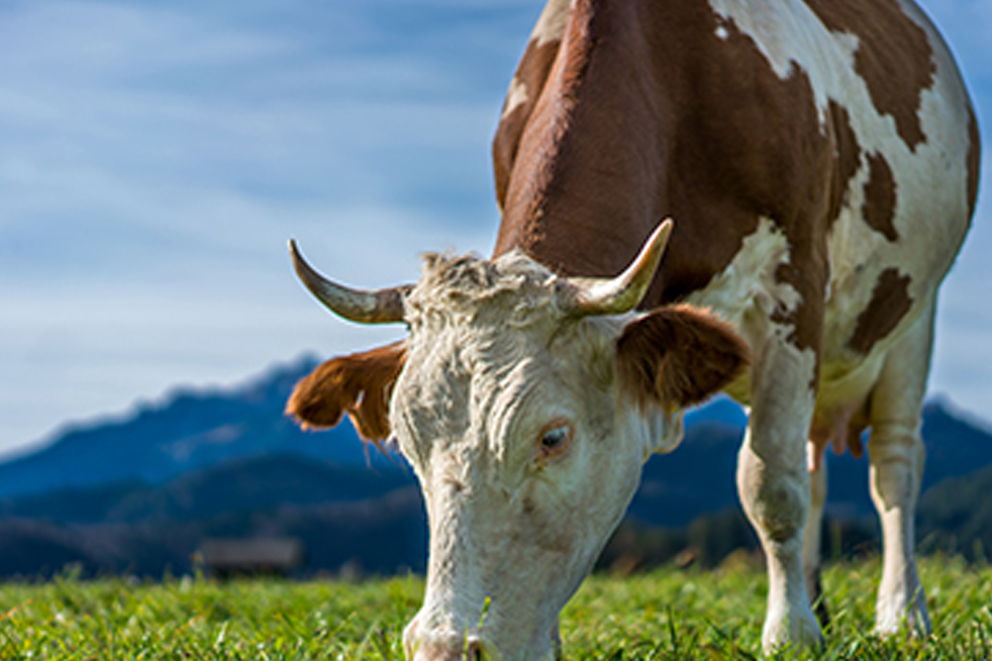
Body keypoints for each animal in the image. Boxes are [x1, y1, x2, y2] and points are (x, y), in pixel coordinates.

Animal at [287, 0, 979, 658]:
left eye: (553, 437)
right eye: (407, 442)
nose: (445, 649)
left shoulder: (794, 289)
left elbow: (770, 485)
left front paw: (790, 637)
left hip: (914, 317)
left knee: (894, 466)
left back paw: (902, 616)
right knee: (816, 466)